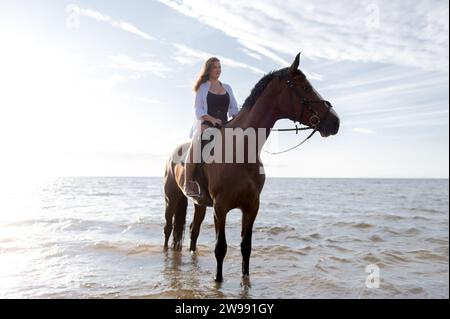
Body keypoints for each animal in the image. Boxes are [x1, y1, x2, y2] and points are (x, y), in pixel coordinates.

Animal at [163, 53, 340, 284]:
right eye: (305, 87)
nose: (335, 122)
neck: (240, 150)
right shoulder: (220, 208)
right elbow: (221, 248)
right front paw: (218, 280)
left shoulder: (252, 206)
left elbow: (246, 247)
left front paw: (245, 280)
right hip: (171, 198)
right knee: (168, 228)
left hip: (199, 204)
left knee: (194, 230)